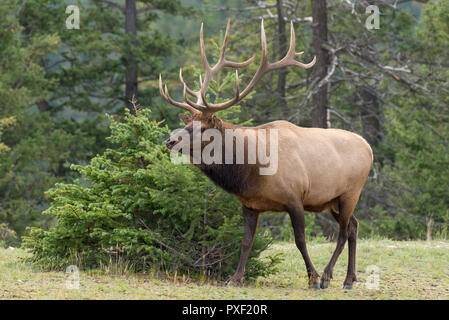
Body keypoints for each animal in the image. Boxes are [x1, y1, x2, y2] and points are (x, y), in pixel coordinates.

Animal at [159, 20, 372, 290]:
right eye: (187, 124)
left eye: (202, 128)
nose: (170, 140)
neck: (251, 171)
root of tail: (369, 147)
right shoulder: (249, 205)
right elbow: (246, 242)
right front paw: (234, 278)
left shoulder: (295, 197)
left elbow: (300, 240)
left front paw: (312, 278)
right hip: (332, 199)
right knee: (354, 226)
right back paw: (349, 279)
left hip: (350, 192)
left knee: (344, 231)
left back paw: (327, 276)